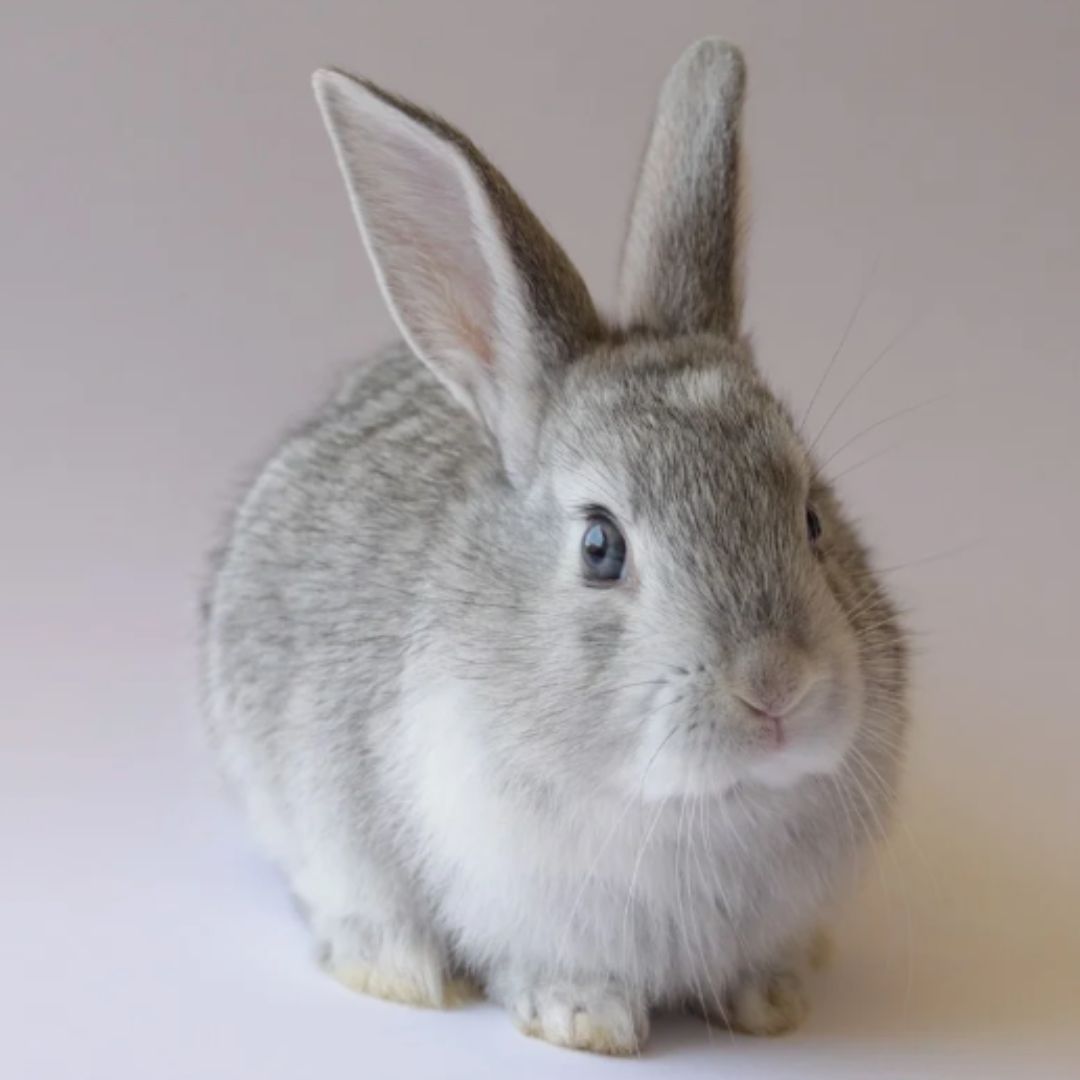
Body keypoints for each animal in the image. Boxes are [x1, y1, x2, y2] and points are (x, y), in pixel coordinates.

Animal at [201, 38, 908, 1056]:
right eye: (601, 546)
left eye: (812, 516)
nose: (775, 685)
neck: (702, 801)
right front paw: (586, 1020)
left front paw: (772, 1002)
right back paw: (398, 970)